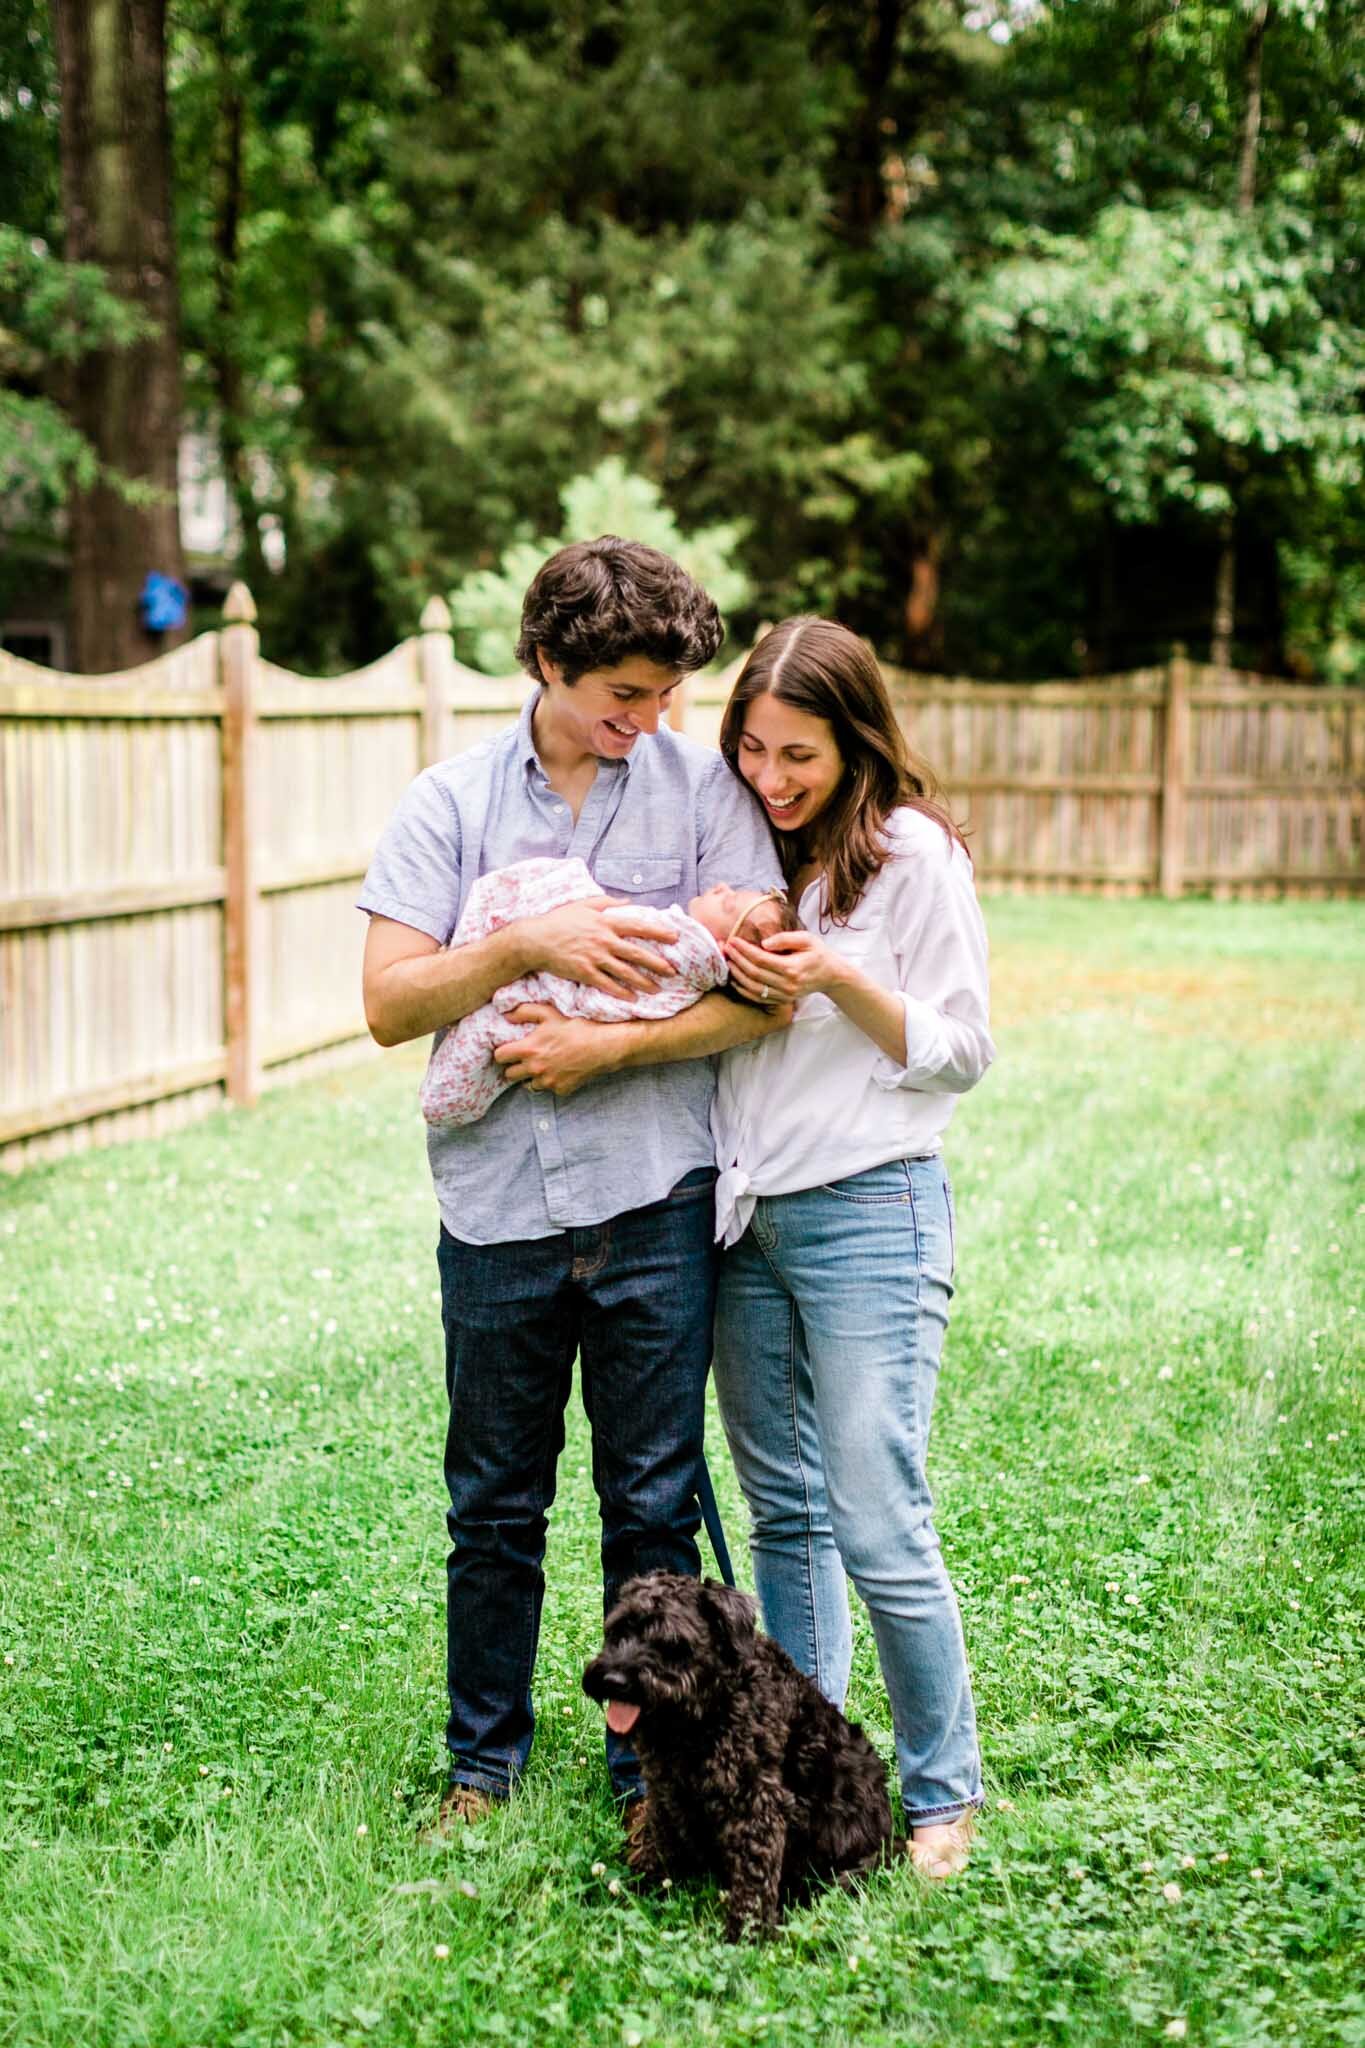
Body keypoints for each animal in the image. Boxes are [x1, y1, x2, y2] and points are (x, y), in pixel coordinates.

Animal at [585, 1564, 896, 1933]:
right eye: (619, 1628)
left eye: (672, 1642)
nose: (614, 1680)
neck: (709, 1704)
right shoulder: (666, 1789)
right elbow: (660, 1840)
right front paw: (640, 1887)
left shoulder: (755, 1802)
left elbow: (754, 1874)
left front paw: (746, 1933)